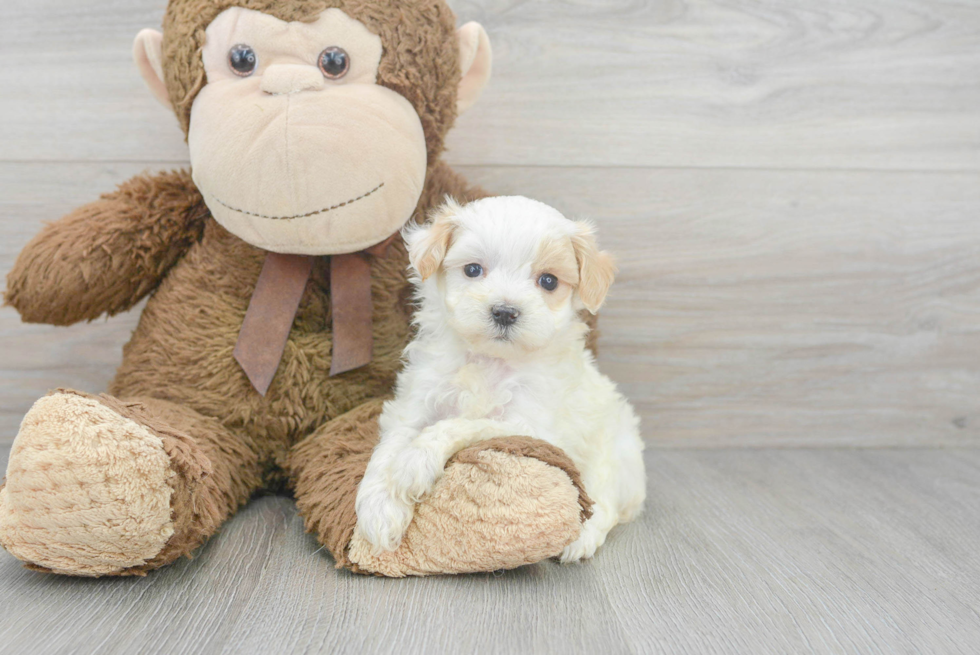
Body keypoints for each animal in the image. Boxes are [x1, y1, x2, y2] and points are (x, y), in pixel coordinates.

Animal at [356, 195, 648, 564]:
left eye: (548, 281)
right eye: (473, 270)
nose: (505, 312)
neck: (490, 360)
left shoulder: (529, 425)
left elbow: (463, 425)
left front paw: (414, 463)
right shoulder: (414, 403)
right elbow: (388, 448)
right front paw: (378, 511)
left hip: (615, 457)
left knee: (606, 501)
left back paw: (583, 538)